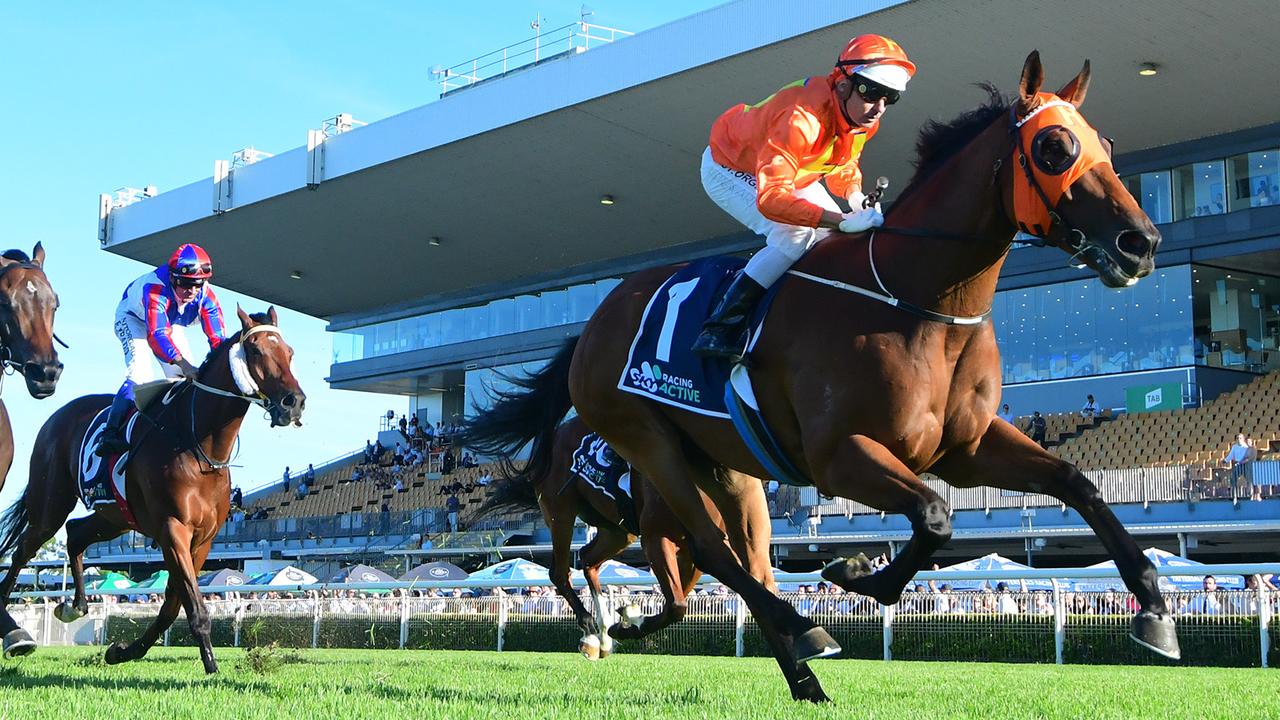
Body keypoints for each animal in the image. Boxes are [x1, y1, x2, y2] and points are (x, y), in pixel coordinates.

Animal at [0, 303, 307, 666]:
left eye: (289, 352)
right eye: (256, 350)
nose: (294, 401)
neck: (199, 444)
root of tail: (56, 416)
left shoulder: (203, 539)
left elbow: (172, 606)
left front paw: (123, 651)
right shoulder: (172, 529)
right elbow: (192, 605)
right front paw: (211, 664)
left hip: (116, 517)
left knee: (75, 533)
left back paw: (76, 606)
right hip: (51, 502)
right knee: (25, 548)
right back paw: (15, 630)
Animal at [468, 412, 773, 661]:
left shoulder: (693, 553)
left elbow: (678, 601)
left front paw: (628, 619)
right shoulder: (656, 539)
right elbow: (677, 605)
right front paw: (627, 622)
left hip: (619, 532)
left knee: (588, 559)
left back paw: (602, 636)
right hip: (560, 512)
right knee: (560, 571)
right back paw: (591, 632)